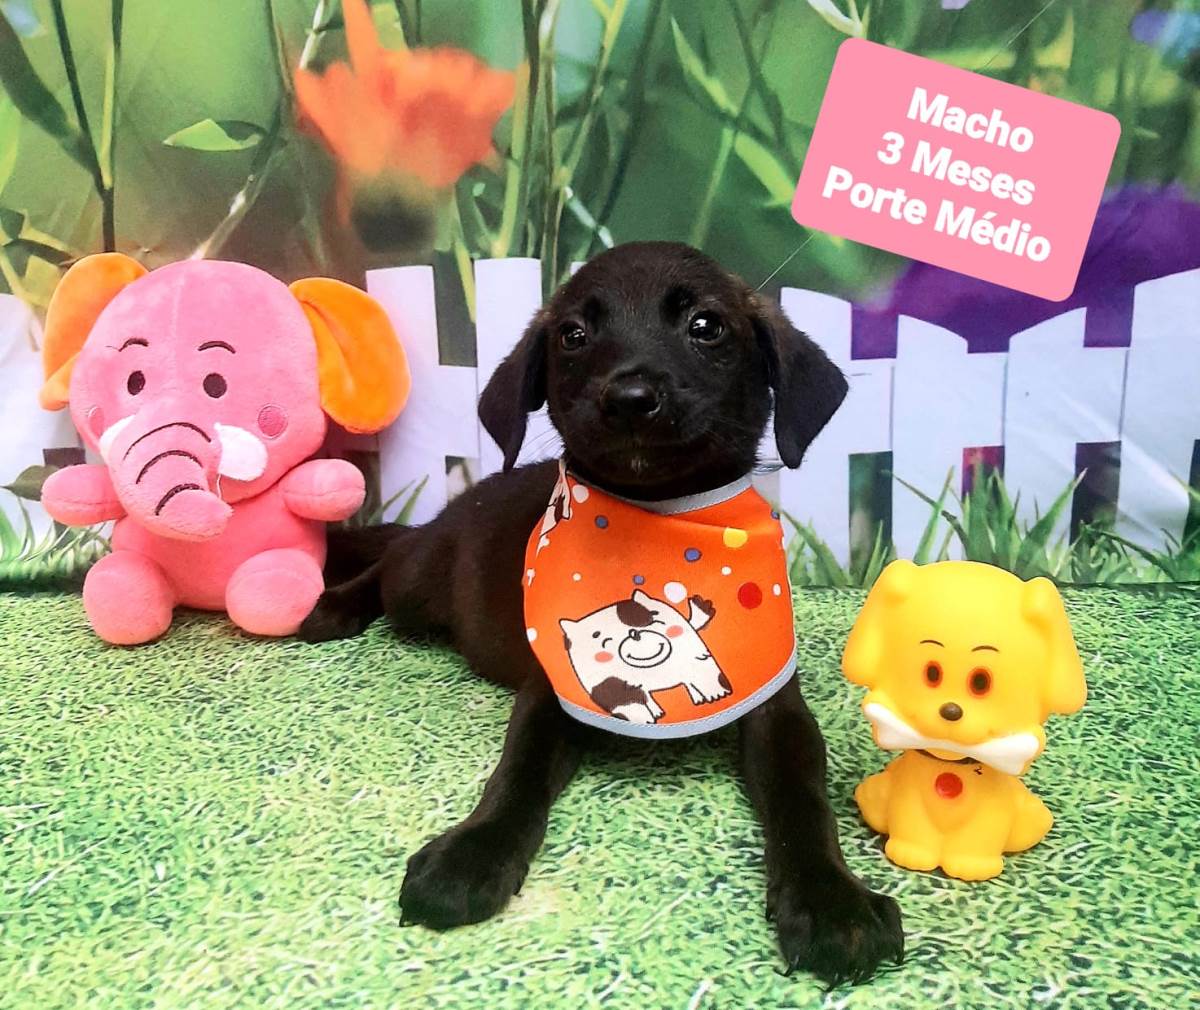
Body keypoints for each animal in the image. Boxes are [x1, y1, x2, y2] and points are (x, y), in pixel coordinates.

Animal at [302, 242, 904, 985]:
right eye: (573, 336)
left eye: (707, 326)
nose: (630, 399)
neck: (658, 526)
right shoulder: (550, 692)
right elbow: (517, 774)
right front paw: (471, 854)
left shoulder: (773, 700)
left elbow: (802, 798)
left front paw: (831, 901)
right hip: (420, 585)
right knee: (391, 559)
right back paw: (334, 603)